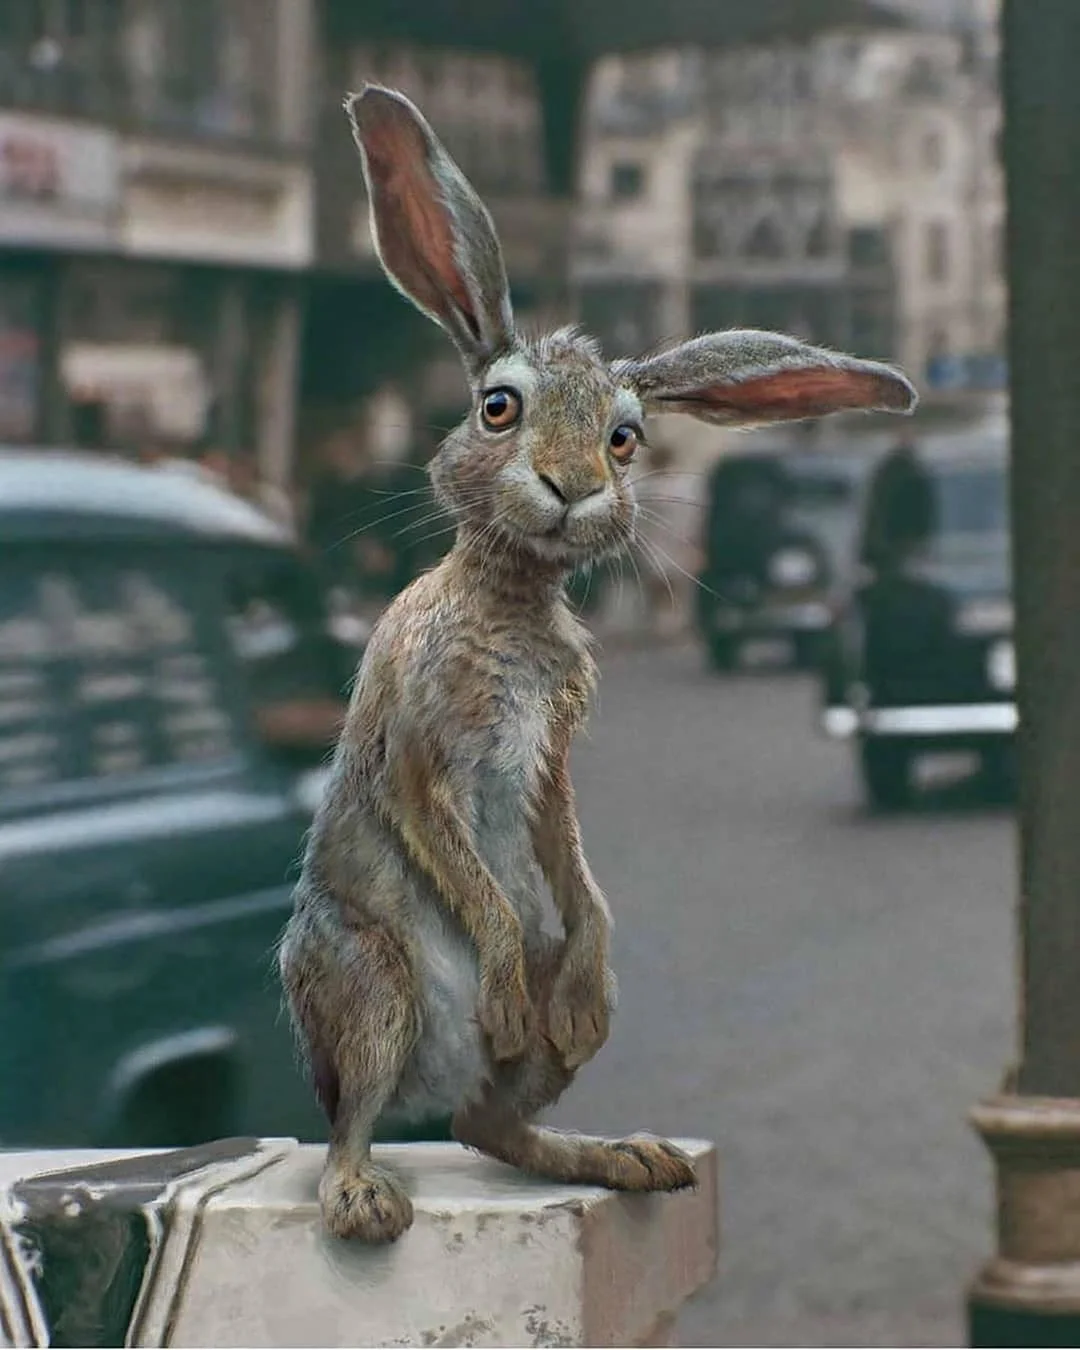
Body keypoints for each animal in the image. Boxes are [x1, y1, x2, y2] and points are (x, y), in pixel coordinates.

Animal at [278, 82, 917, 1244]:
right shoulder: (420, 743)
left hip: (538, 1047)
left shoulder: (550, 760)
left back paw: (619, 1150)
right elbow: (442, 832)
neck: (512, 599)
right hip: (371, 986)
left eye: (626, 439)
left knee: (495, 1122)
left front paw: (582, 984)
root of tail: (432, 1085)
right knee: (357, 1115)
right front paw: (496, 984)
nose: (573, 485)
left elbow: (572, 852)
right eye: (497, 408)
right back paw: (365, 1194)